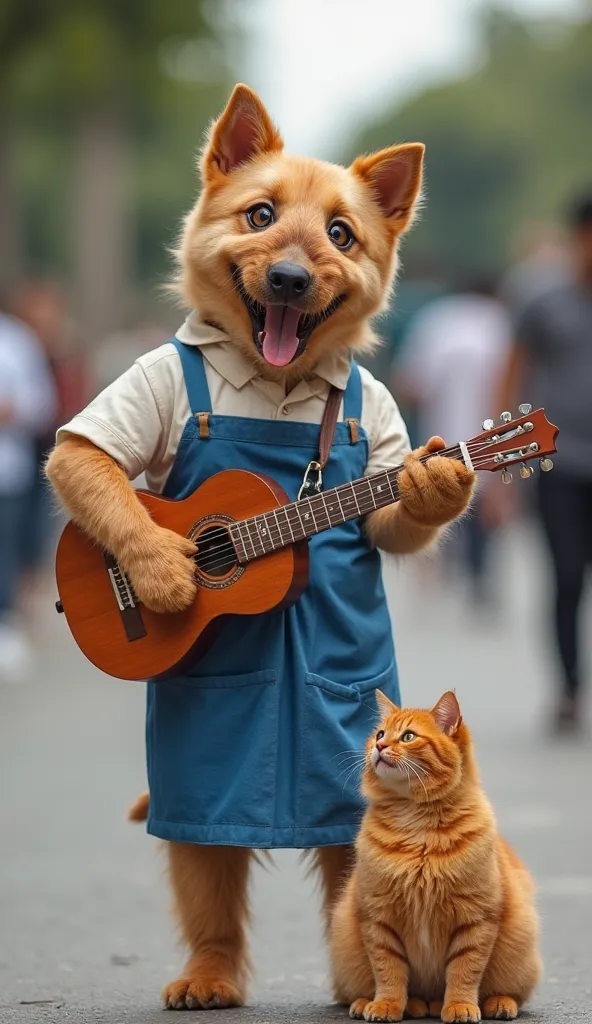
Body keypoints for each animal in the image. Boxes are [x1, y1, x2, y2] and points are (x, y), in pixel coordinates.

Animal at [43, 81, 473, 1007]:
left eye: (340, 235)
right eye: (261, 216)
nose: (289, 277)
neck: (276, 380)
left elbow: (394, 513)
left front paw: (442, 480)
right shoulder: (119, 408)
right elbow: (80, 454)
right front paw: (162, 572)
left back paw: (356, 981)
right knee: (203, 856)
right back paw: (206, 977)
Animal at [329, 692, 540, 1019]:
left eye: (408, 736)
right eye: (379, 734)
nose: (379, 746)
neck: (417, 824)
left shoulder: (476, 919)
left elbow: (464, 972)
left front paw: (459, 1006)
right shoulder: (378, 918)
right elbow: (388, 972)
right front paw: (387, 1004)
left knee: (507, 992)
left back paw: (495, 1003)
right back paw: (388, 1003)